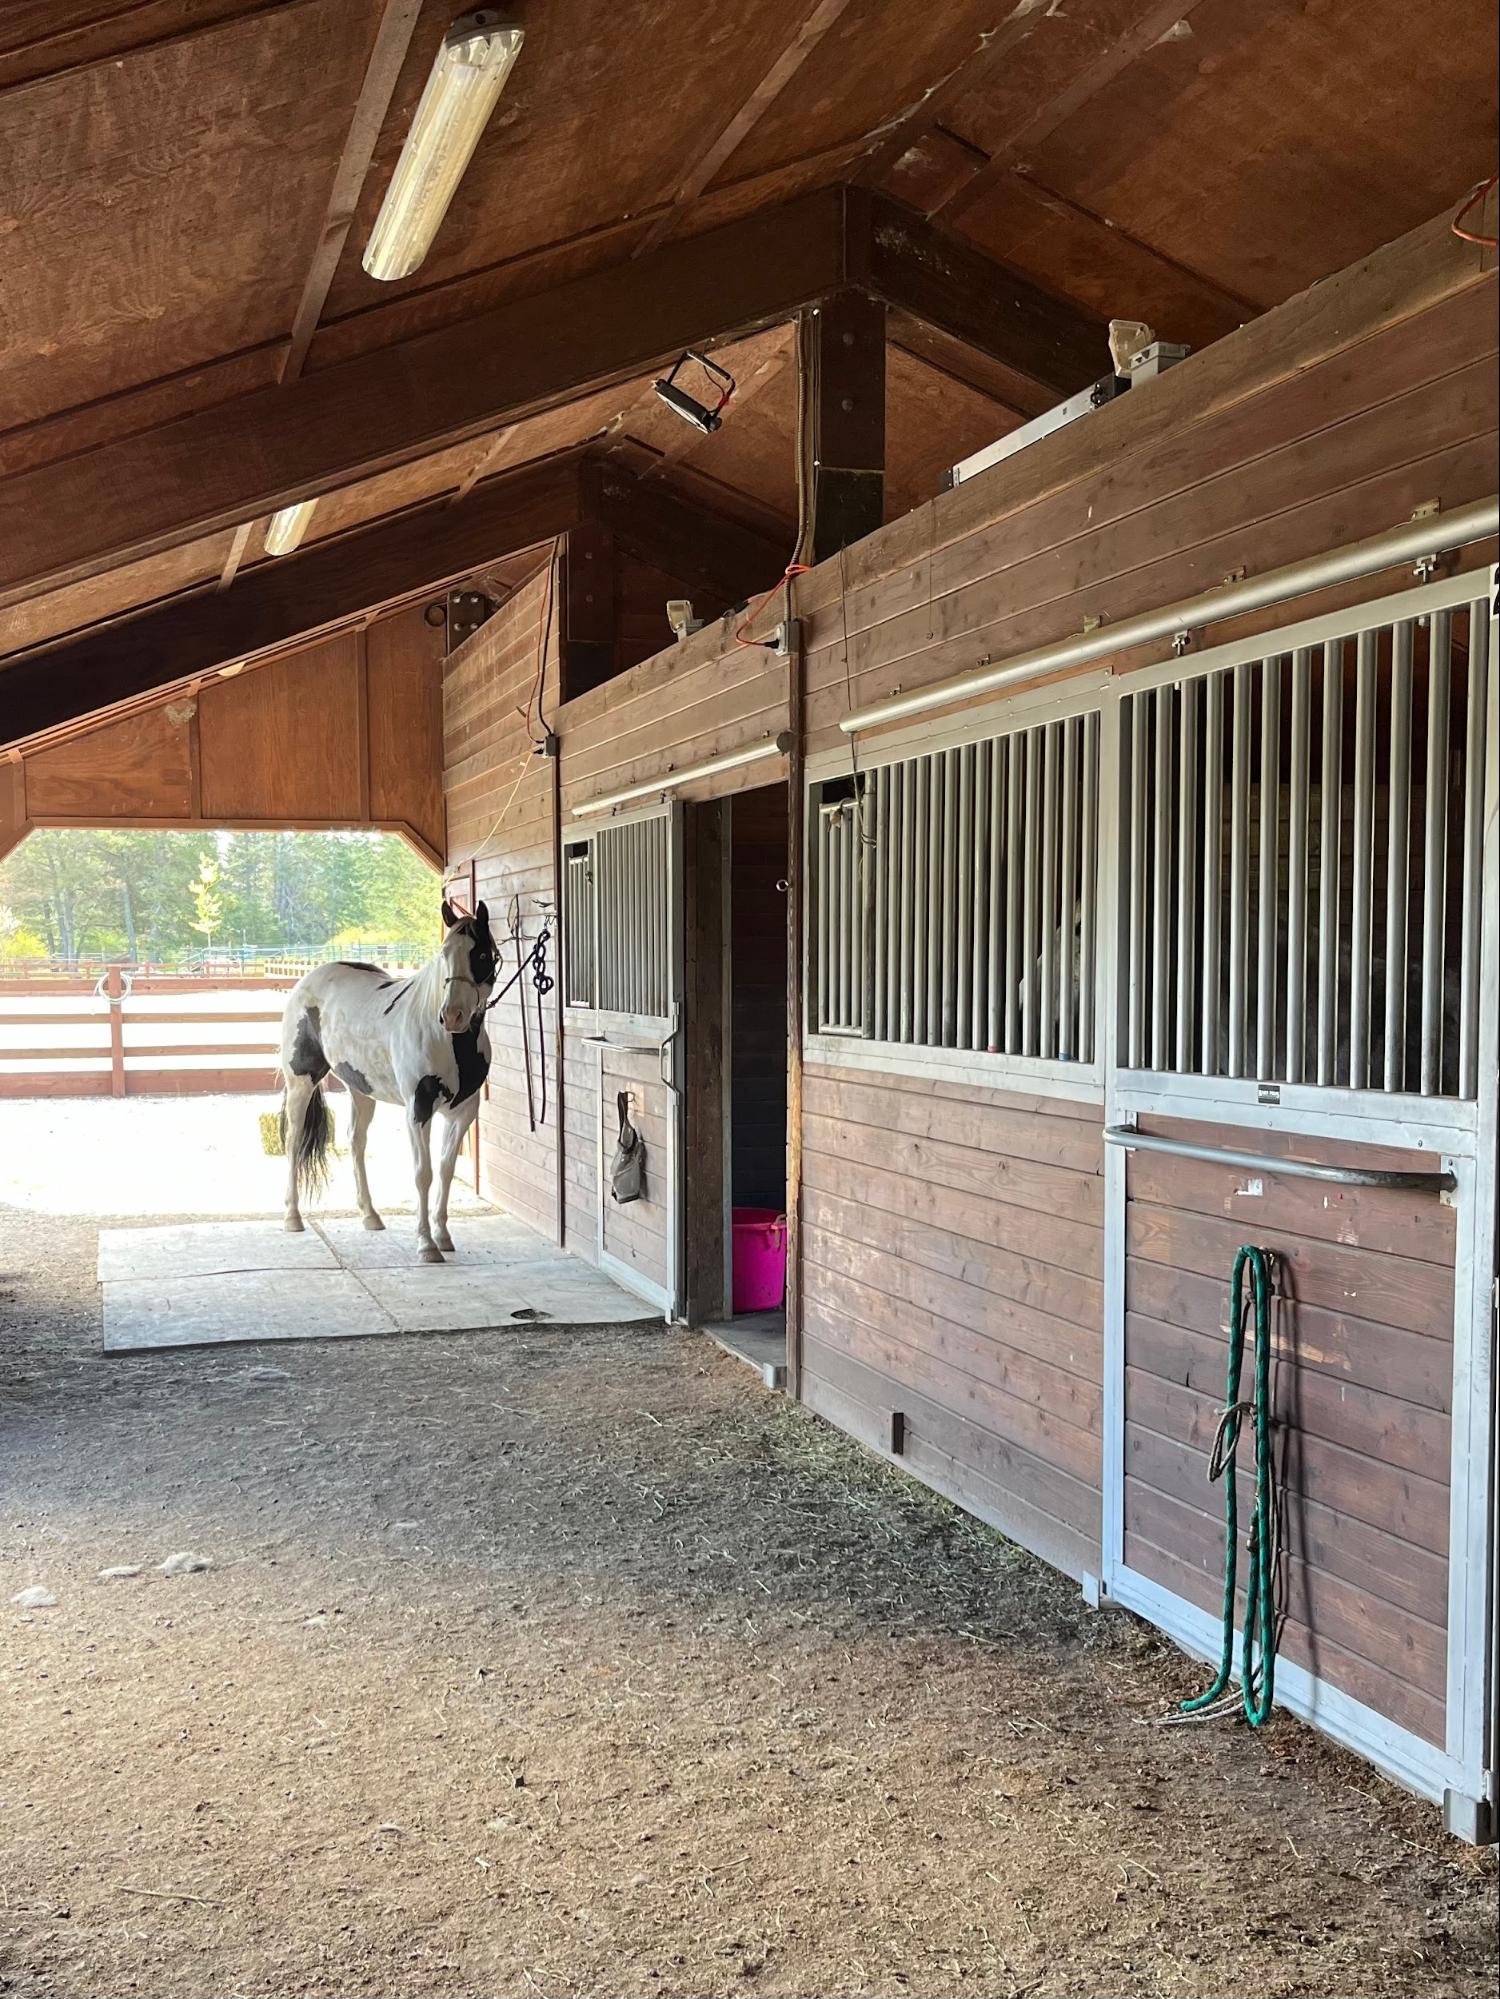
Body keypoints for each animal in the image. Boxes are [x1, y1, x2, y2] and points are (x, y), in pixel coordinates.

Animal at [278, 899, 497, 1261]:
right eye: (444, 953)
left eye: (481, 954)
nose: (451, 1016)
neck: (448, 1041)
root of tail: (309, 978)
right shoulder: (418, 1109)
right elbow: (423, 1173)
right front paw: (426, 1244)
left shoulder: (464, 1112)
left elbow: (446, 1169)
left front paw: (443, 1235)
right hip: (301, 1082)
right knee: (294, 1140)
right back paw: (292, 1217)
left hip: (360, 1090)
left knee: (355, 1142)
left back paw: (370, 1215)